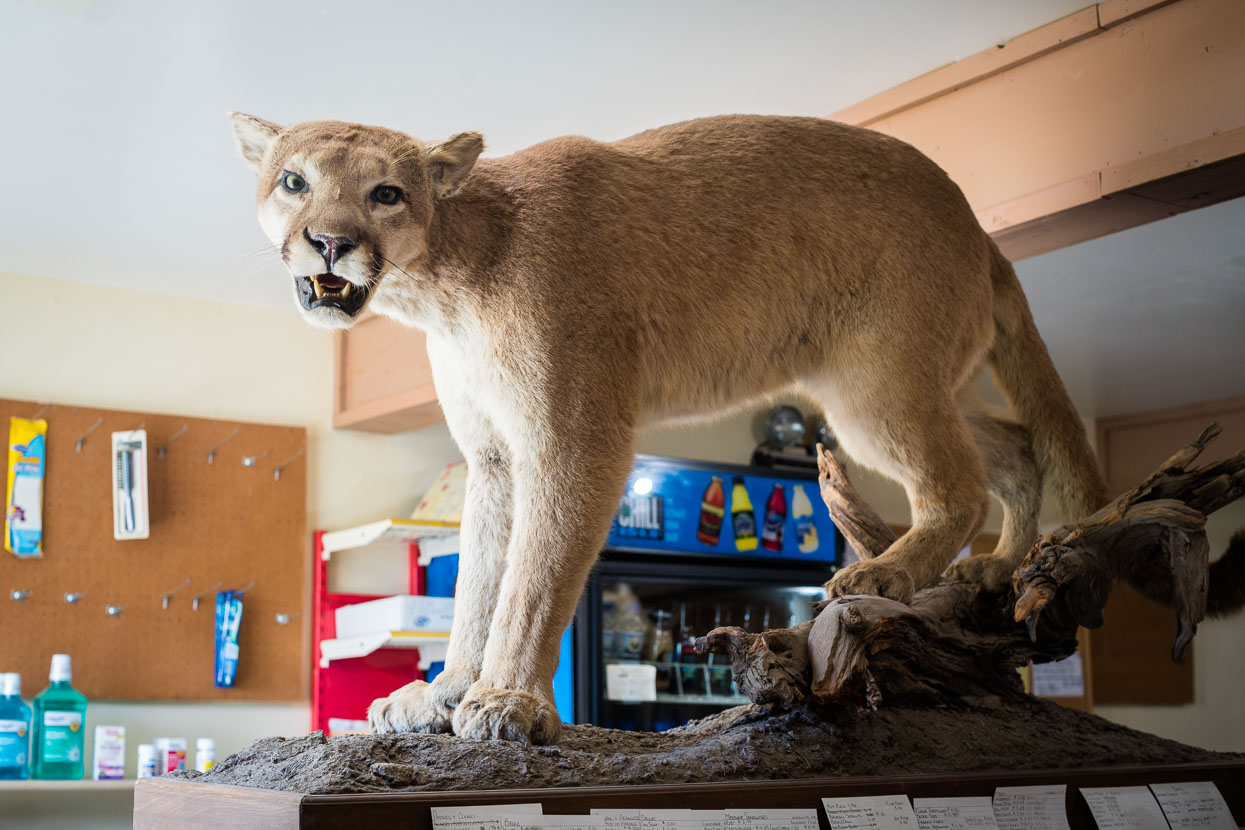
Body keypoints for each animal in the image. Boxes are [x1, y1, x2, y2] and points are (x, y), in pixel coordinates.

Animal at [229, 111, 1105, 746]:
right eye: (294, 181)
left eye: (385, 192)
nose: (329, 241)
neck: (443, 284)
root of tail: (976, 224)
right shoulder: (493, 457)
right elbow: (477, 579)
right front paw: (442, 695)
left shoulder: (569, 437)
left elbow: (530, 579)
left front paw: (506, 700)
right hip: (890, 379)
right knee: (1014, 446)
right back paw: (995, 568)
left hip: (873, 386)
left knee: (958, 479)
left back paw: (886, 573)